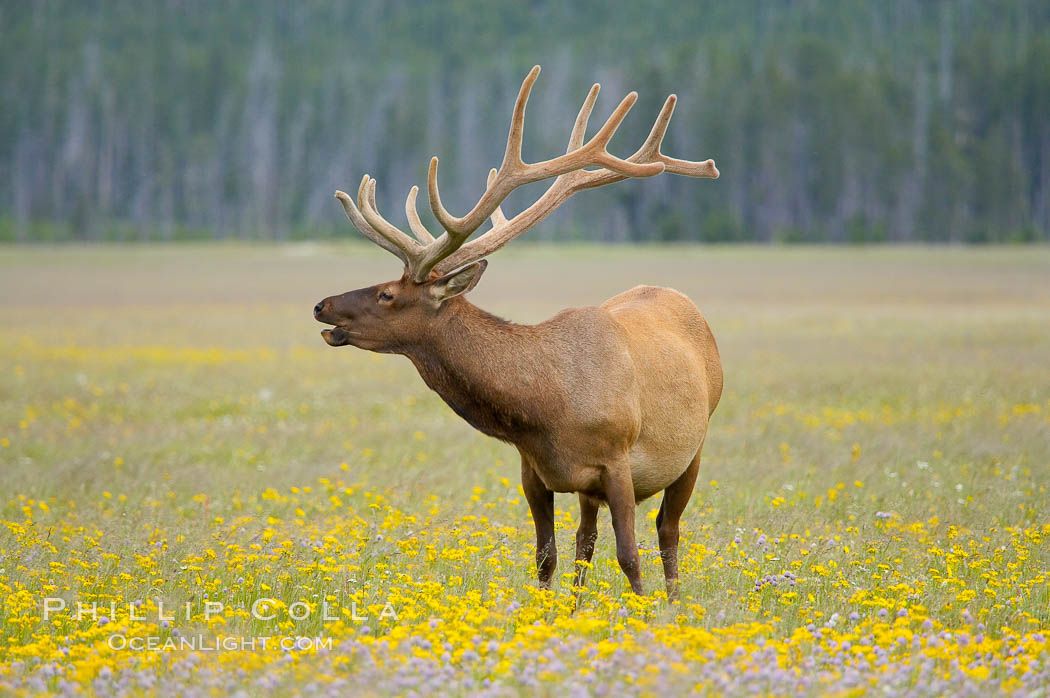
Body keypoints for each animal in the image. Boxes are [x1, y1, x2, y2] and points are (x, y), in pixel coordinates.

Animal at [310, 66, 722, 600]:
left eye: (386, 294)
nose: (322, 305)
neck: (544, 410)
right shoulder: (534, 472)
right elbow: (547, 558)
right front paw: (548, 612)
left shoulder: (618, 462)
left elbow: (630, 557)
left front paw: (644, 611)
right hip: (592, 490)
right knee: (585, 540)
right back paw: (578, 606)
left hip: (694, 447)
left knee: (667, 533)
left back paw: (673, 602)